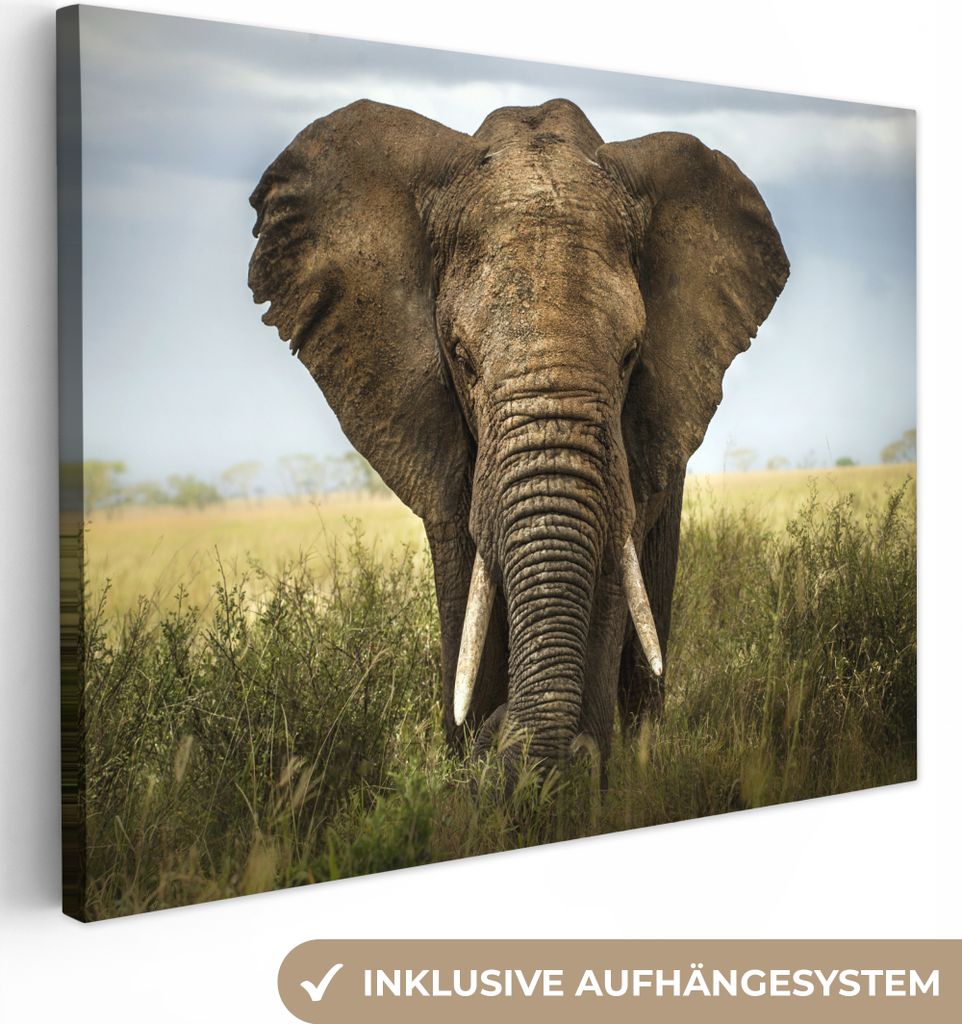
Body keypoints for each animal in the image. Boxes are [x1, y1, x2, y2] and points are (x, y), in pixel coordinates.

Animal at [248, 98, 789, 778]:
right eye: (461, 358)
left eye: (630, 357)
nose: (500, 737)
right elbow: (463, 579)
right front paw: (470, 759)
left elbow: (611, 577)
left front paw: (574, 774)